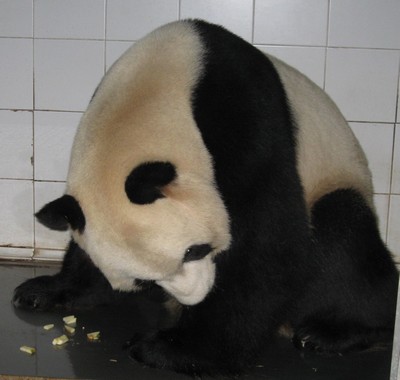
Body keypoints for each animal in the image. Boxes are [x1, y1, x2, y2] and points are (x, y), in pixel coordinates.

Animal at [13, 20, 400, 374]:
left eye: (194, 251)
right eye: (144, 281)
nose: (195, 297)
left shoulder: (246, 119)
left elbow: (268, 240)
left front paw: (177, 349)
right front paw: (47, 290)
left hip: (332, 181)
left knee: (342, 242)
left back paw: (336, 332)